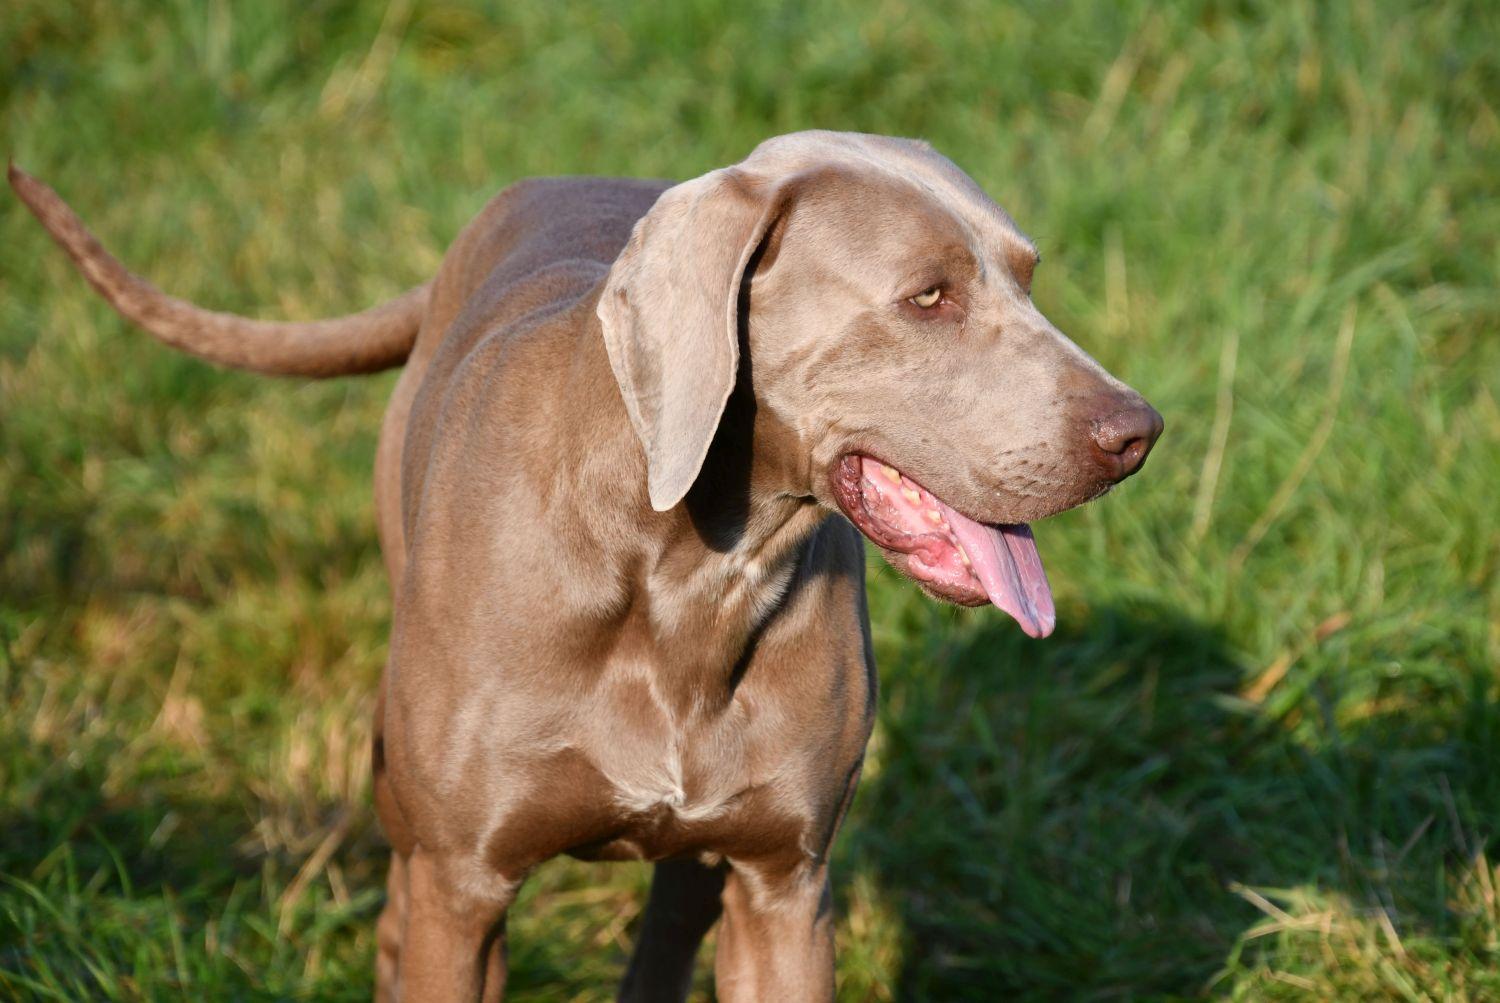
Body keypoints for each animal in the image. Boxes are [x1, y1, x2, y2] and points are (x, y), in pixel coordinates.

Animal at [8, 128, 1158, 995]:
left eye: (1029, 275)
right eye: (928, 297)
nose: (1137, 431)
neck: (686, 572)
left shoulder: (786, 885)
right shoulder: (462, 883)